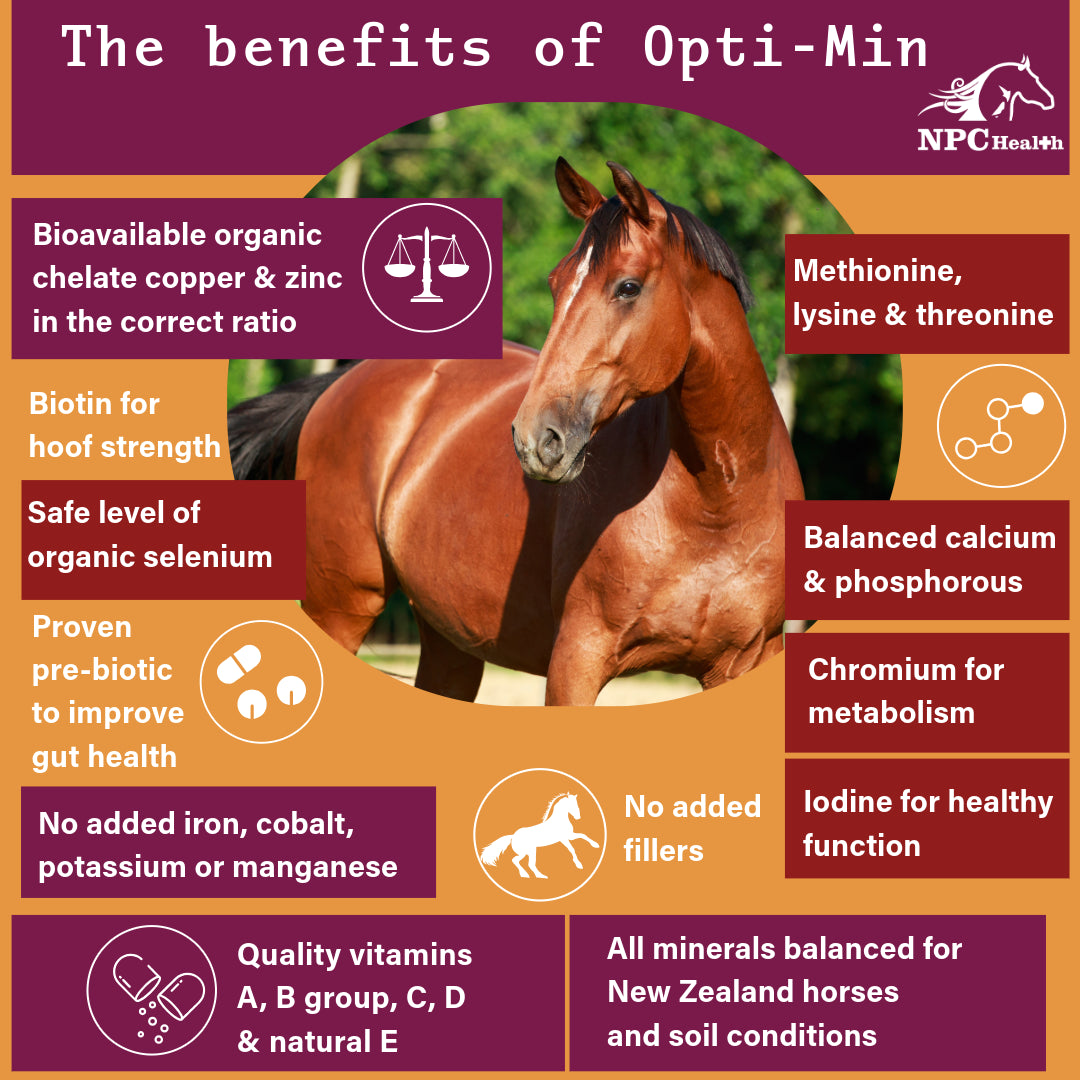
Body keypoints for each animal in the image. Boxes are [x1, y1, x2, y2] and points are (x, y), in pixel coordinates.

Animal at [228, 158, 803, 705]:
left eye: (628, 287)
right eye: (556, 284)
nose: (536, 440)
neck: (718, 500)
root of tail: (343, 382)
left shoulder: (743, 661)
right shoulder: (576, 662)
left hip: (449, 644)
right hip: (340, 609)